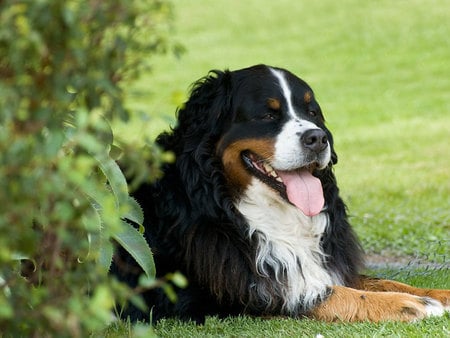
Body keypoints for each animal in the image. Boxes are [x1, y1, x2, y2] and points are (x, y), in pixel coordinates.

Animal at [113, 63, 450, 322]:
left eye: (312, 111)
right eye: (267, 115)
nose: (318, 138)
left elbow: (378, 280)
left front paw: (436, 294)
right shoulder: (233, 290)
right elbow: (323, 294)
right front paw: (410, 305)